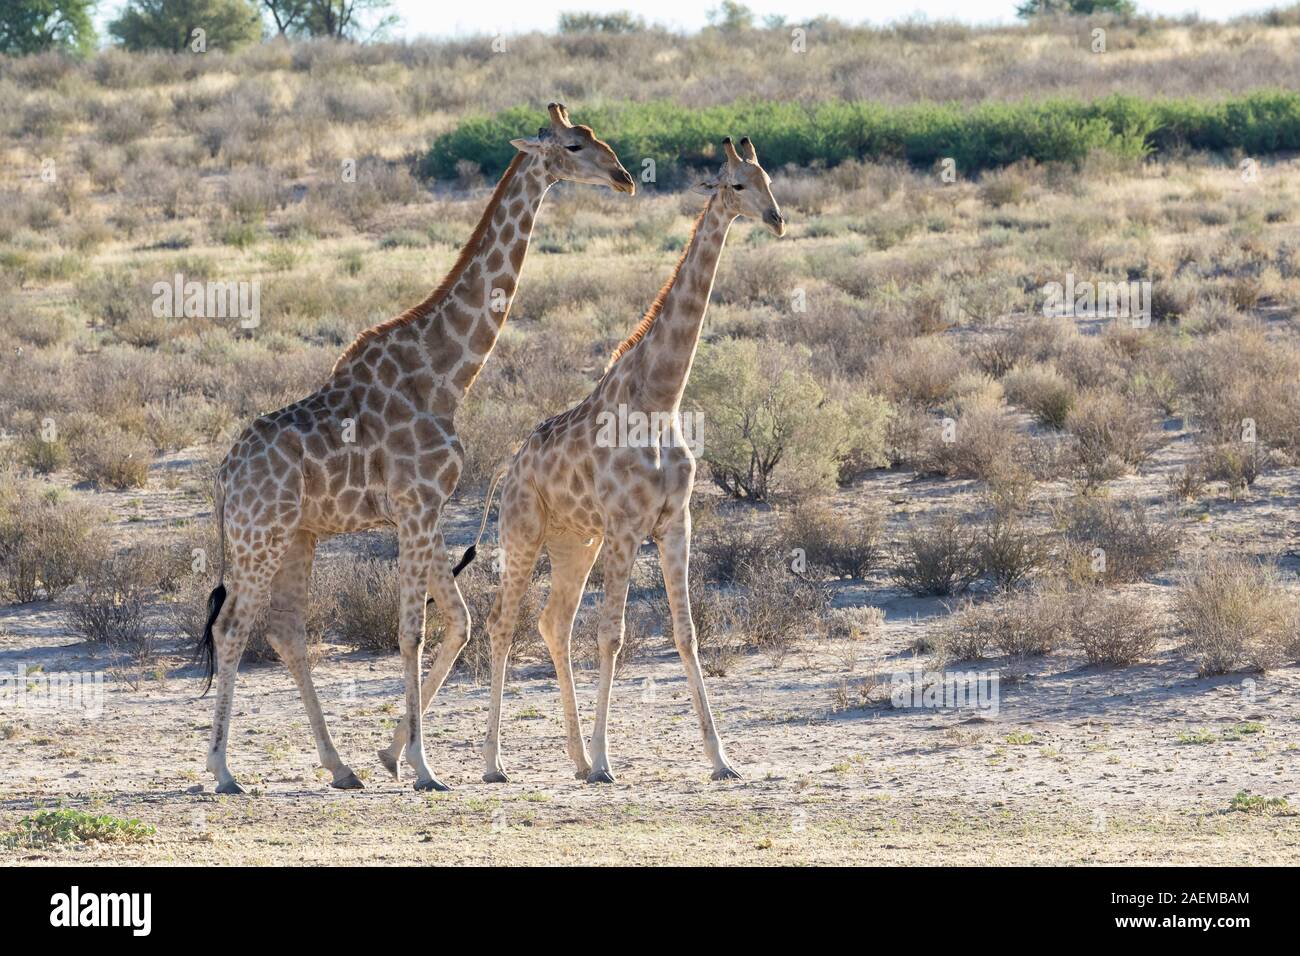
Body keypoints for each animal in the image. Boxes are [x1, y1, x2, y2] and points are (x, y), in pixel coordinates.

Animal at [195, 103, 634, 795]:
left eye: (595, 137)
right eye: (572, 146)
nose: (623, 177)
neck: (446, 375)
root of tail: (223, 475)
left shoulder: (422, 513)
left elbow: (456, 622)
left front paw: (395, 755)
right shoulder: (418, 505)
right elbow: (412, 632)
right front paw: (425, 769)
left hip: (296, 536)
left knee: (286, 631)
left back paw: (340, 767)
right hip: (258, 536)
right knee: (233, 627)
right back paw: (222, 772)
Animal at [462, 137, 785, 784]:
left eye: (768, 177)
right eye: (737, 185)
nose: (776, 218)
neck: (661, 398)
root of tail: (507, 469)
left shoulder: (674, 523)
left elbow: (686, 634)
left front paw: (722, 760)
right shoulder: (625, 527)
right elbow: (612, 634)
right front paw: (609, 759)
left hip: (574, 542)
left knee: (553, 622)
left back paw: (575, 757)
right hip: (524, 532)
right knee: (504, 622)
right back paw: (495, 763)